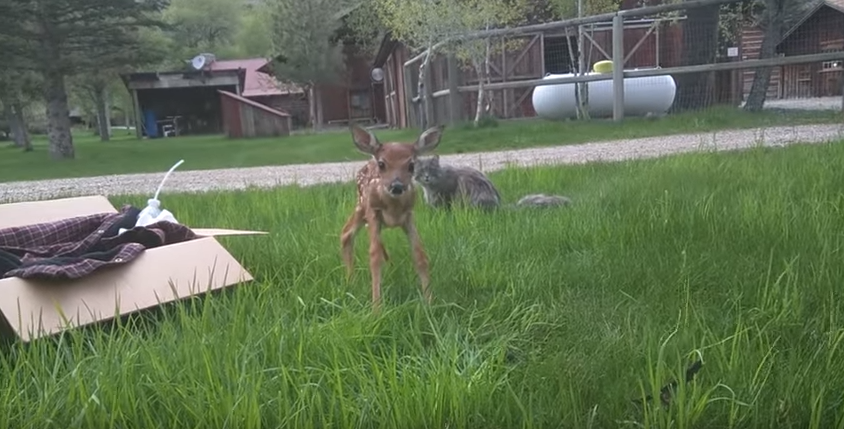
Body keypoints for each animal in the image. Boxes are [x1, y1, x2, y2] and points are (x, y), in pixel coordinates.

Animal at [410, 155, 572, 211]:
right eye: (422, 171)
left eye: (431, 170)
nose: (426, 177)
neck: (429, 188)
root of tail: (499, 206)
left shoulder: (447, 195)